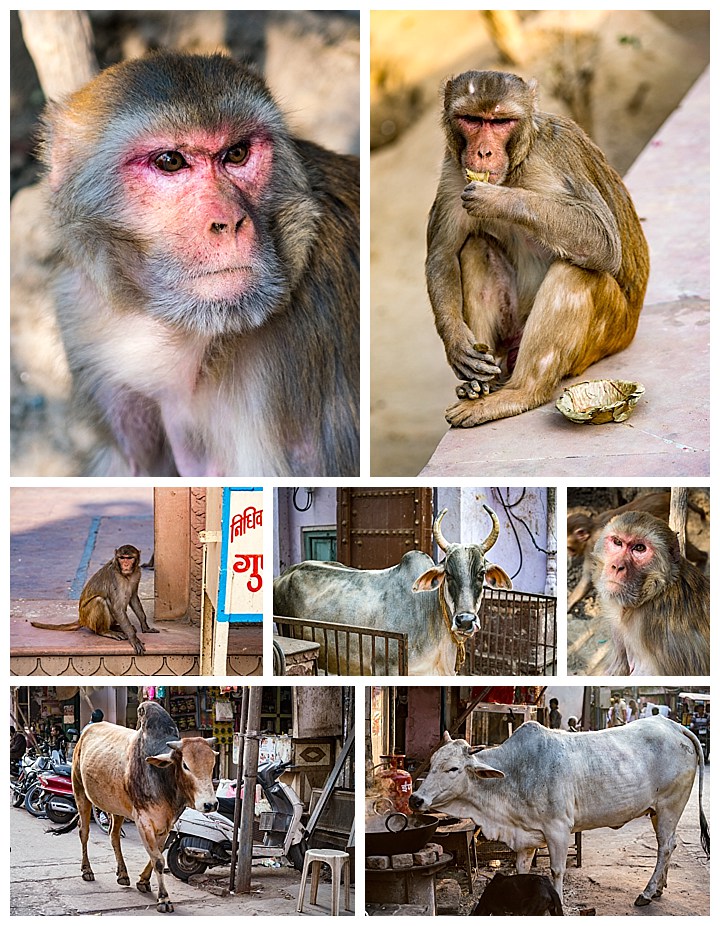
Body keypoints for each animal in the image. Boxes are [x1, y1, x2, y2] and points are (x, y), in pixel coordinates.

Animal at [410, 716, 708, 908]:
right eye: (433, 763)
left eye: (453, 769)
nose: (415, 799)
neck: (515, 773)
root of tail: (675, 726)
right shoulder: (525, 836)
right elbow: (521, 869)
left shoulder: (558, 830)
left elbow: (556, 871)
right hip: (657, 811)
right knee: (668, 845)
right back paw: (658, 889)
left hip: (670, 806)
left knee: (665, 846)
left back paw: (646, 893)